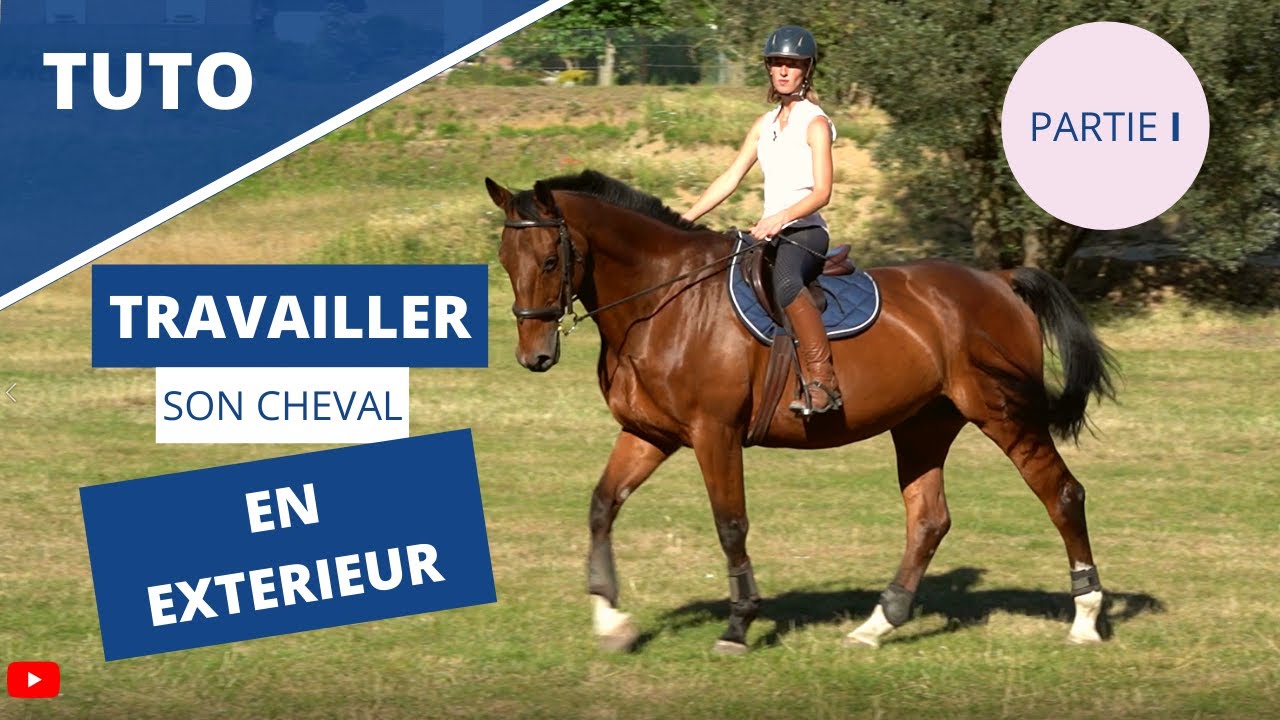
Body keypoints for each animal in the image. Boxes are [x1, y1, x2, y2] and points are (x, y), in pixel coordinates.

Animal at [484, 170, 1116, 654]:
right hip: (923, 424)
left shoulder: (714, 434)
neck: (662, 301)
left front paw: (738, 625)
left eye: (549, 260)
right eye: (505, 260)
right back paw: (877, 625)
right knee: (928, 519)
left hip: (1006, 415)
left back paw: (1086, 618)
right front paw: (610, 621)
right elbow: (602, 506)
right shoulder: (647, 434)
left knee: (1062, 495)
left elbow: (730, 524)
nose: (534, 357)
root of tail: (999, 281)